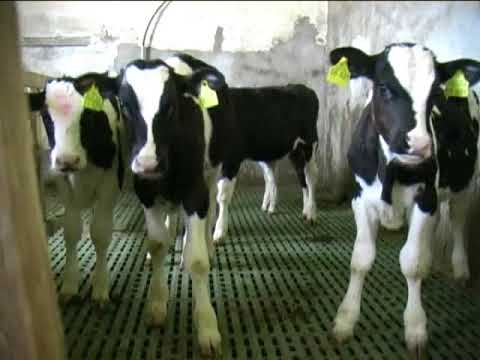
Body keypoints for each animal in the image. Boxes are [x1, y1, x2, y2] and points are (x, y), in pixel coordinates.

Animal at [27, 72, 125, 304]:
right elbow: (71, 232)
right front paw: (70, 285)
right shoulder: (65, 188)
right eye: (46, 116)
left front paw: (100, 287)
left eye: (88, 116)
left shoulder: (109, 187)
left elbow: (100, 233)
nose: (67, 160)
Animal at [118, 57, 232, 356]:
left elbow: (197, 260)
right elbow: (157, 244)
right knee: (170, 220)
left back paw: (205, 244)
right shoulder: (145, 192)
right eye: (124, 106)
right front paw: (157, 304)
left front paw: (207, 327)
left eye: (170, 106)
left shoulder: (195, 192)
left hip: (212, 174)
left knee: (210, 215)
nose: (147, 163)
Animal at [330, 43, 480, 356]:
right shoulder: (360, 198)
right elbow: (360, 260)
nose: (420, 145)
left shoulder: (425, 198)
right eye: (384, 88)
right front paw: (345, 321)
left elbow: (411, 262)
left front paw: (415, 328)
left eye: (435, 93)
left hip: (465, 182)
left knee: (458, 219)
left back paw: (460, 269)